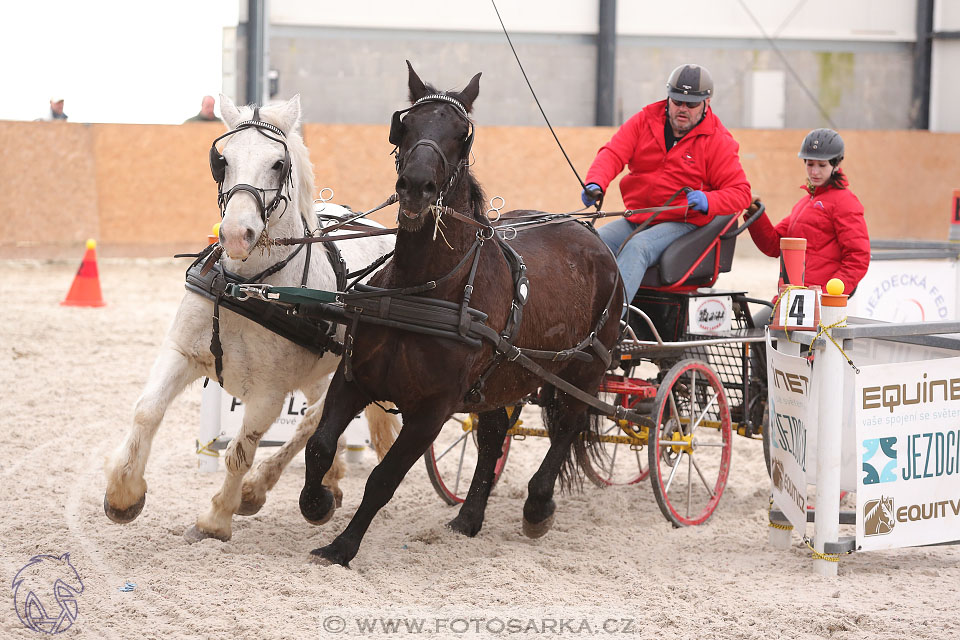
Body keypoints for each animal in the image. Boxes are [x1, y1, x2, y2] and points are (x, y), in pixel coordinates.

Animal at [106, 95, 402, 544]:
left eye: (278, 164)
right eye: (222, 160)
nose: (234, 234)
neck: (247, 288)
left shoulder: (268, 395)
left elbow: (239, 452)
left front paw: (215, 519)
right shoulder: (180, 352)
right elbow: (147, 411)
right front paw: (123, 494)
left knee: (313, 420)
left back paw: (258, 490)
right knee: (320, 417)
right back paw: (329, 482)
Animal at [300, 62, 624, 568]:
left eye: (461, 134)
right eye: (406, 124)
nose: (416, 186)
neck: (424, 287)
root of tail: (591, 235)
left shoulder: (433, 409)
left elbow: (383, 479)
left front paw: (342, 547)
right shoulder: (354, 380)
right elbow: (319, 447)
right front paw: (318, 503)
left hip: (585, 370)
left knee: (567, 428)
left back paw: (537, 507)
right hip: (500, 381)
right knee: (494, 437)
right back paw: (469, 517)